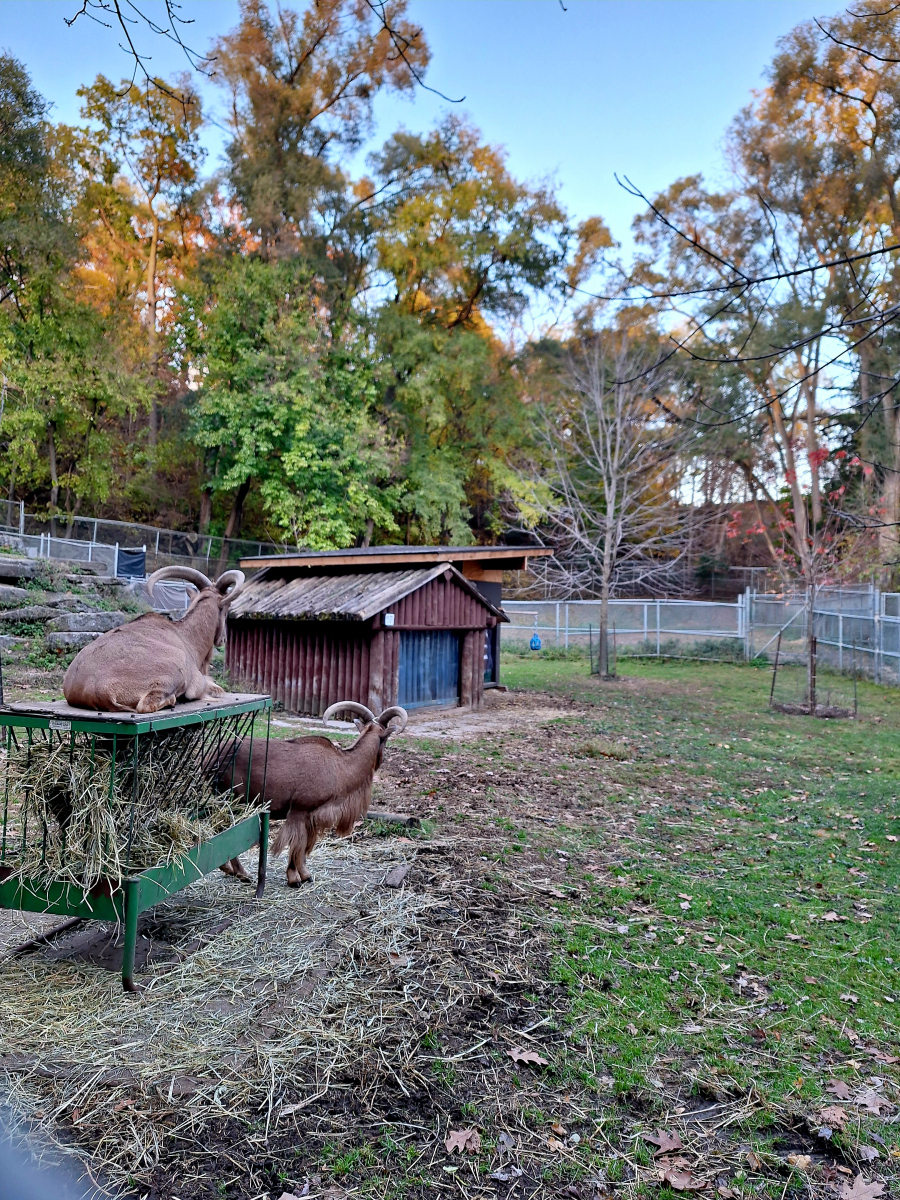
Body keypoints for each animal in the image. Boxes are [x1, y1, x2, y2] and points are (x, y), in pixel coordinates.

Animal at [62, 561, 247, 710]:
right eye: (226, 608)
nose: (223, 639)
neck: (187, 636)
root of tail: (100, 691)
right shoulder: (198, 683)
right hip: (174, 668)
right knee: (145, 705)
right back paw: (173, 700)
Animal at [225, 700, 408, 888]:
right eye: (385, 739)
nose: (381, 760)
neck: (340, 765)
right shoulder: (299, 811)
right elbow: (297, 846)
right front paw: (295, 879)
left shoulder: (311, 818)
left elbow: (304, 848)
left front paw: (305, 875)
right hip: (232, 802)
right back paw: (242, 873)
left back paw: (232, 871)